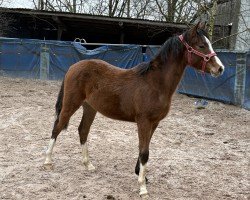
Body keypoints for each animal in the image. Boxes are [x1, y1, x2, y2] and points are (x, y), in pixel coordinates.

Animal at [44, 22, 225, 198]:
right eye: (201, 45)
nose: (220, 68)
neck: (155, 84)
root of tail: (73, 66)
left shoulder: (154, 123)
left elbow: (144, 149)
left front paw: (142, 176)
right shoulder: (143, 121)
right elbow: (144, 152)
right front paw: (143, 188)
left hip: (90, 108)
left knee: (83, 130)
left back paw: (88, 164)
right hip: (70, 104)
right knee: (57, 128)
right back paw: (47, 161)